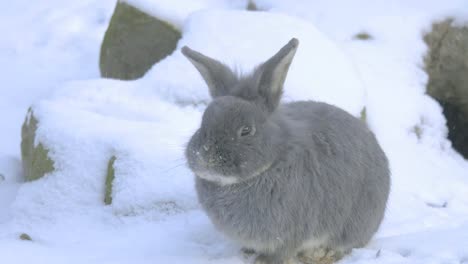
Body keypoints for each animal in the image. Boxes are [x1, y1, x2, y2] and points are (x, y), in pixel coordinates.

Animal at [183, 39, 392, 264]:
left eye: (246, 130)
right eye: (203, 121)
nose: (204, 158)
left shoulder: (292, 232)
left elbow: (282, 251)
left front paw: (263, 261)